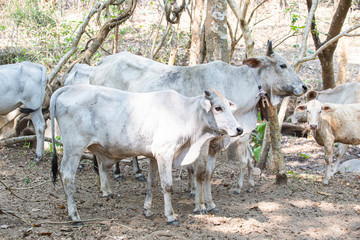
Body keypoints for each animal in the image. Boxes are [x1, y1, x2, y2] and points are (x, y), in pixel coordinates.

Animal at [50, 85, 242, 225]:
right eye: (218, 108)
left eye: (228, 107)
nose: (239, 129)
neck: (185, 114)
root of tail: (67, 88)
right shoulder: (165, 153)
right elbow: (167, 185)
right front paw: (170, 216)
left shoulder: (153, 156)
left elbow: (152, 182)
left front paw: (147, 210)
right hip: (74, 149)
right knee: (66, 175)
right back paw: (75, 215)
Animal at [88, 41, 308, 214]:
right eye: (282, 65)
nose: (305, 87)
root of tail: (100, 64)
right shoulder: (202, 142)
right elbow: (200, 172)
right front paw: (199, 205)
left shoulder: (215, 143)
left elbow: (208, 173)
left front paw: (209, 203)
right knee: (98, 156)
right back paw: (106, 188)